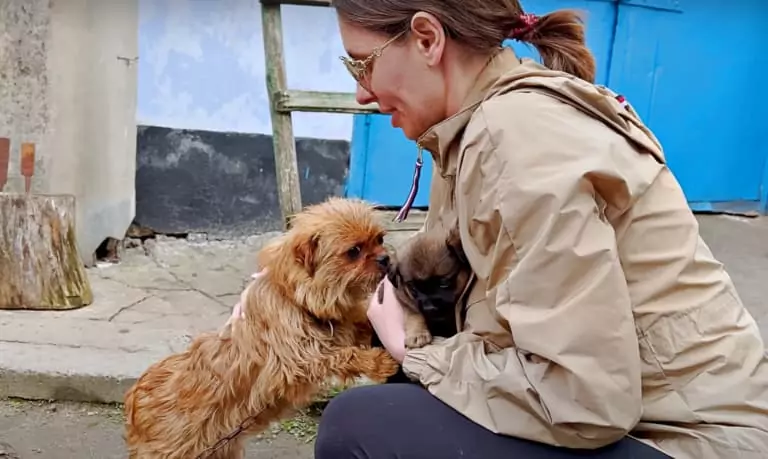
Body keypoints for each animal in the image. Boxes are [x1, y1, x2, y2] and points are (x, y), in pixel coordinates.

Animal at [123, 198, 400, 459]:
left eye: (379, 239)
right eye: (354, 251)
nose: (385, 258)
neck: (297, 299)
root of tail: (134, 399)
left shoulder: (343, 325)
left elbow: (361, 324)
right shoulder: (299, 360)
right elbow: (343, 355)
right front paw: (378, 362)